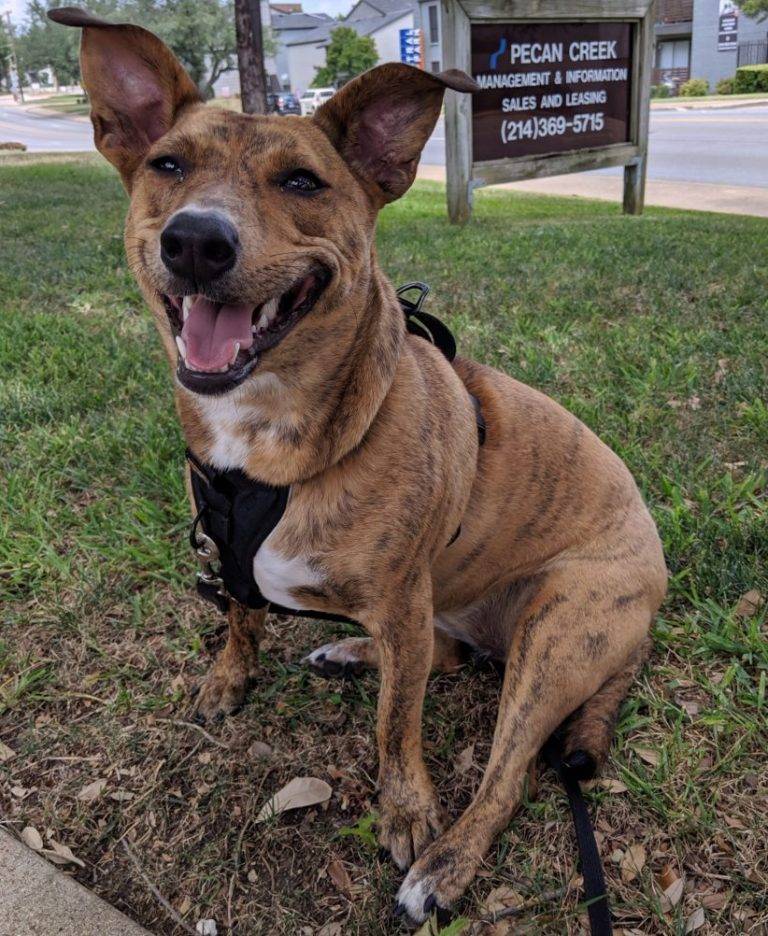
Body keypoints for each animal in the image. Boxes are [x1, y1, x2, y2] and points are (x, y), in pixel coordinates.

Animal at [52, 7, 664, 924]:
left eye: (303, 183)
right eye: (168, 165)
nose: (196, 239)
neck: (273, 437)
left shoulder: (405, 601)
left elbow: (395, 727)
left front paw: (405, 811)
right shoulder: (236, 559)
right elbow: (242, 618)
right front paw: (230, 677)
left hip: (558, 632)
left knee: (507, 770)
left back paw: (445, 863)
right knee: (445, 659)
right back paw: (348, 654)